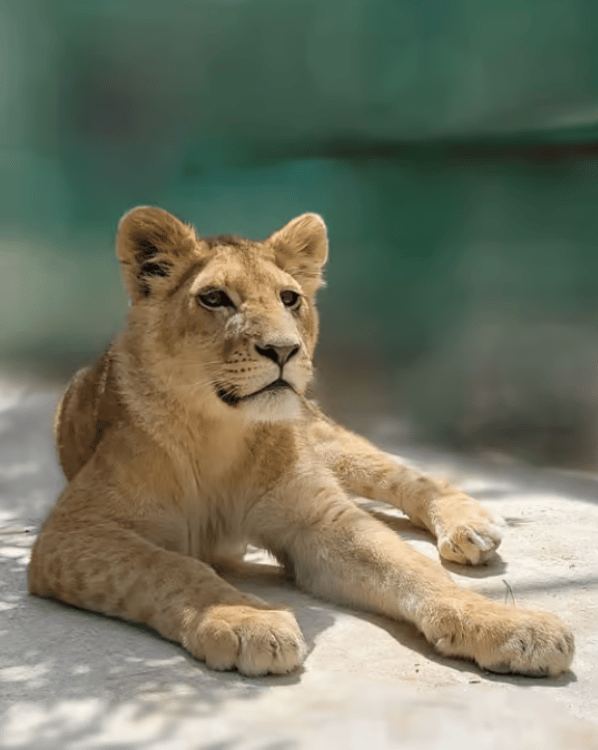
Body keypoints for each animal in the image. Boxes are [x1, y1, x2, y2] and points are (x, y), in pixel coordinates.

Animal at [28, 207, 574, 677]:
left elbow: (413, 570)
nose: (283, 350)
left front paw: (507, 623)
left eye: (289, 299)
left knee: (407, 477)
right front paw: (242, 618)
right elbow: (170, 565)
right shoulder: (73, 532)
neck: (219, 433)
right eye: (214, 298)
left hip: (326, 441)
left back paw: (470, 525)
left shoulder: (320, 521)